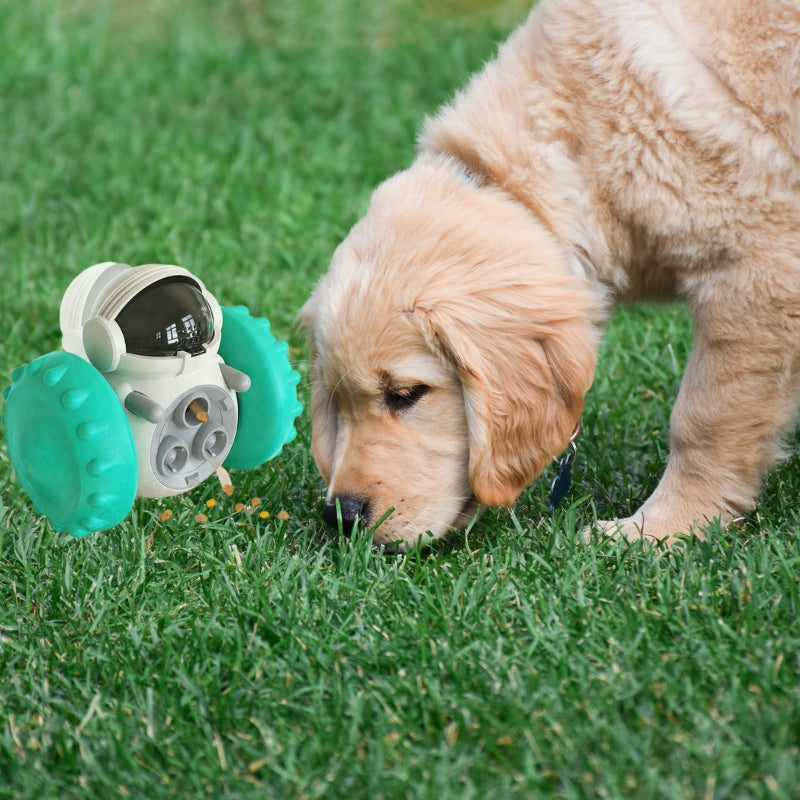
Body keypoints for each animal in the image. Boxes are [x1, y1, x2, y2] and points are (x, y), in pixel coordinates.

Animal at [302, 0, 800, 548]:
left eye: (406, 395)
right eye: (337, 402)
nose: (341, 517)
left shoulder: (755, 267)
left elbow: (704, 419)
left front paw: (661, 528)